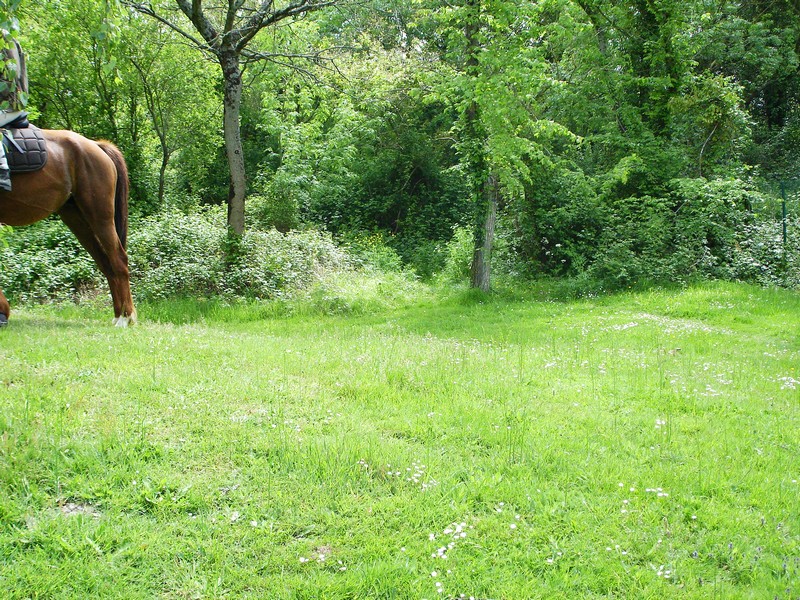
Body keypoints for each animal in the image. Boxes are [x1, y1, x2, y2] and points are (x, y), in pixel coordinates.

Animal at [0, 129, 137, 328]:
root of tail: (96, 145)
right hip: (76, 219)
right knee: (106, 263)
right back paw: (118, 314)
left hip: (100, 216)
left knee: (118, 259)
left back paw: (125, 317)